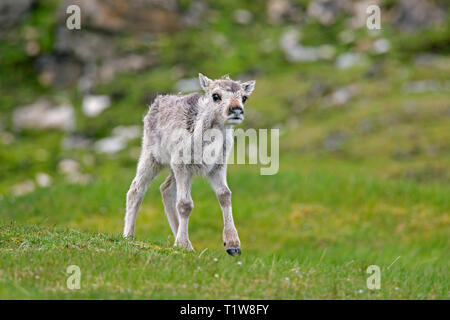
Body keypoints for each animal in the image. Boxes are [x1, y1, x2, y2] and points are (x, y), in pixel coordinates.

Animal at [123, 73, 256, 255]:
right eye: (216, 96)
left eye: (244, 97)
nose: (236, 110)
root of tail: (156, 103)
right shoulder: (182, 165)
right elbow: (185, 204)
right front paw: (183, 244)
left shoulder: (218, 166)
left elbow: (225, 195)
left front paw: (233, 244)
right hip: (152, 157)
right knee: (136, 189)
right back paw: (128, 235)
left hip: (175, 169)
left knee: (165, 188)